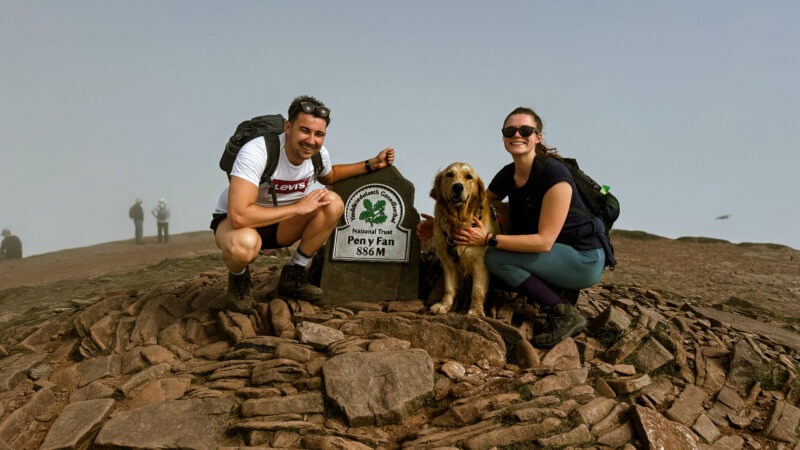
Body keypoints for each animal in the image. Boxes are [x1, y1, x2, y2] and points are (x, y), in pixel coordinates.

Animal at [428, 163, 496, 316]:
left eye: (469, 177)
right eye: (449, 175)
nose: (458, 187)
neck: (458, 221)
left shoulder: (480, 262)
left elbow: (477, 290)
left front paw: (475, 311)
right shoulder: (448, 261)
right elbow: (449, 287)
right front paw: (444, 305)